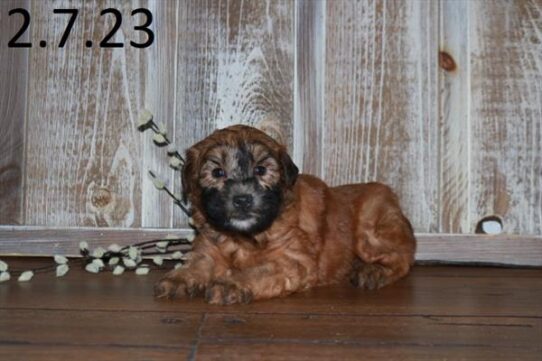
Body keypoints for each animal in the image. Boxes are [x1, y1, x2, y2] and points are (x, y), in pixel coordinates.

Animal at [155, 125, 418, 302]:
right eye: (217, 173)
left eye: (261, 170)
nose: (242, 199)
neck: (243, 238)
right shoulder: (209, 249)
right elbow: (199, 264)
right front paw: (180, 277)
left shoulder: (292, 260)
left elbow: (259, 271)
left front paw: (232, 284)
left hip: (370, 228)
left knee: (402, 259)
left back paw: (372, 271)